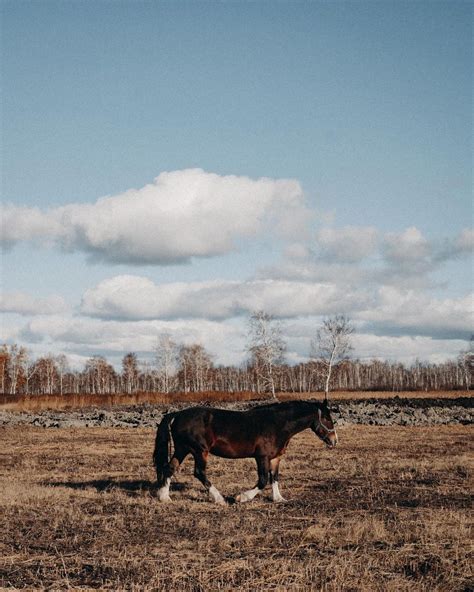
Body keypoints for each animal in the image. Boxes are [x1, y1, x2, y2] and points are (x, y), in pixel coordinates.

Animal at [152, 398, 336, 504]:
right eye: (327, 419)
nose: (334, 440)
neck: (277, 424)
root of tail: (177, 414)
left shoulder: (275, 458)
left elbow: (274, 478)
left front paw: (278, 499)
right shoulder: (262, 457)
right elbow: (263, 480)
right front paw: (242, 497)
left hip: (182, 449)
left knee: (169, 468)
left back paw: (164, 497)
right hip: (199, 451)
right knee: (199, 473)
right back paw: (219, 499)